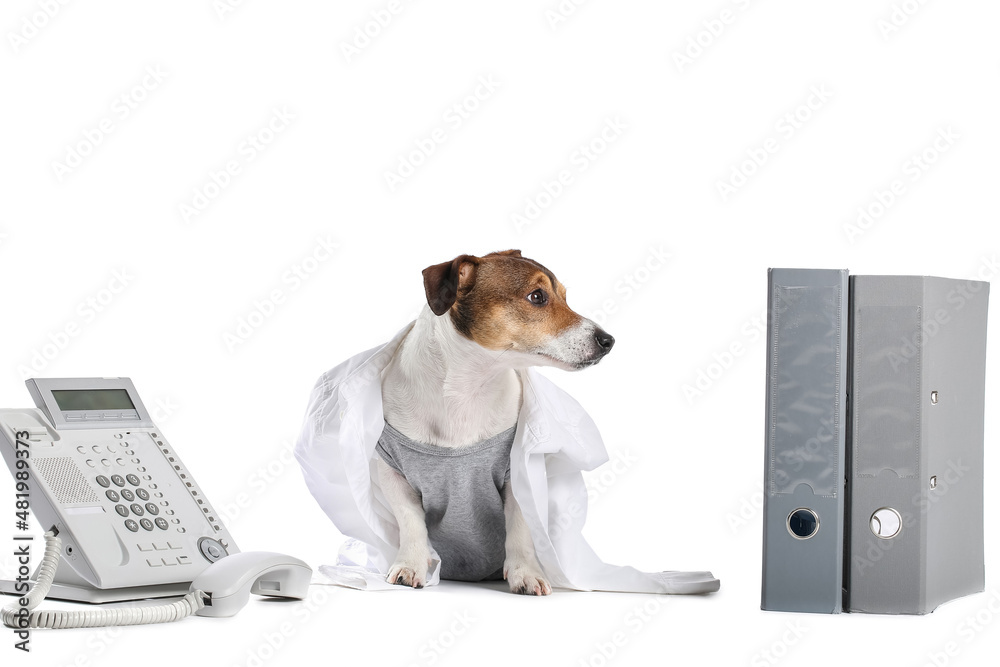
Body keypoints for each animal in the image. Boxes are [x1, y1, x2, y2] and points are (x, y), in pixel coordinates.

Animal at [376, 249, 612, 596]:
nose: (609, 340)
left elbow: (520, 528)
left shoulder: (519, 471)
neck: (467, 390)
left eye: (564, 297)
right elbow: (411, 522)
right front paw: (411, 565)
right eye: (537, 296)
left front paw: (525, 573)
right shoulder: (391, 470)